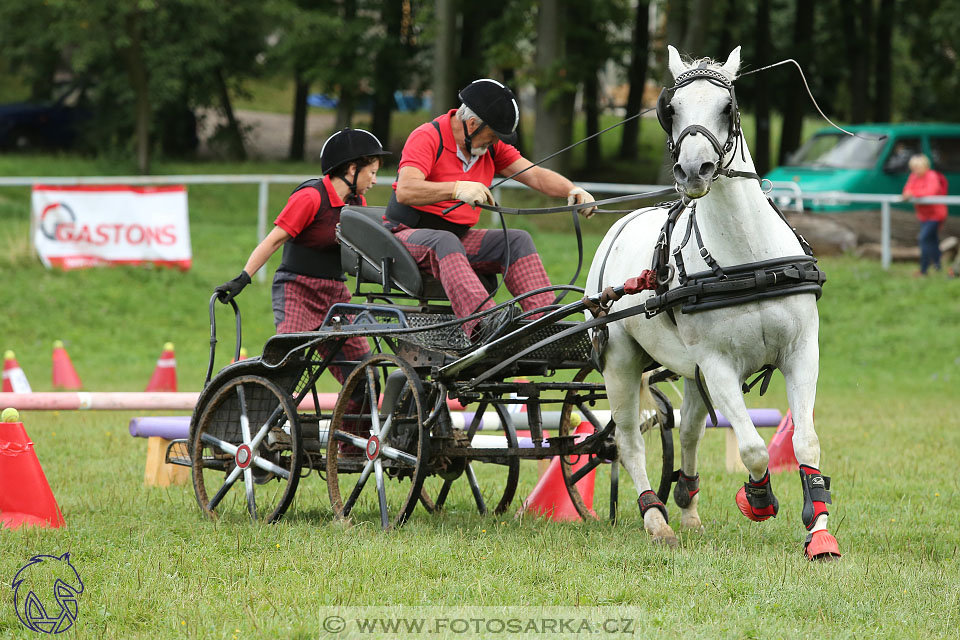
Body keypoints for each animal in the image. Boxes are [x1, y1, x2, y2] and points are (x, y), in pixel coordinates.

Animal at [588, 46, 844, 560]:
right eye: (671, 109)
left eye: (728, 107)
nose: (693, 171)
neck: (750, 260)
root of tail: (619, 225)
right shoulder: (718, 363)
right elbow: (753, 448)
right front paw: (758, 500)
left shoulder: (802, 352)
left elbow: (805, 441)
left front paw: (820, 530)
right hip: (621, 360)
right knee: (627, 441)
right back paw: (656, 519)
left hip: (689, 372)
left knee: (687, 429)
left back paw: (687, 506)